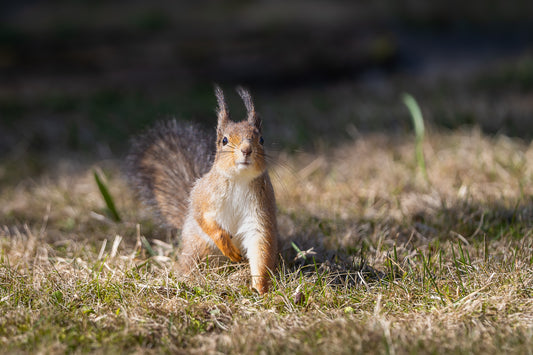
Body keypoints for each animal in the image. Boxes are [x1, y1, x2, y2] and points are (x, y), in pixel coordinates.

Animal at [126, 86, 278, 294]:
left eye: (261, 139)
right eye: (224, 140)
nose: (247, 150)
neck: (239, 179)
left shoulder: (260, 210)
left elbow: (260, 246)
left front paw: (260, 287)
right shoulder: (203, 195)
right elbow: (203, 217)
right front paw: (226, 245)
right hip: (199, 247)